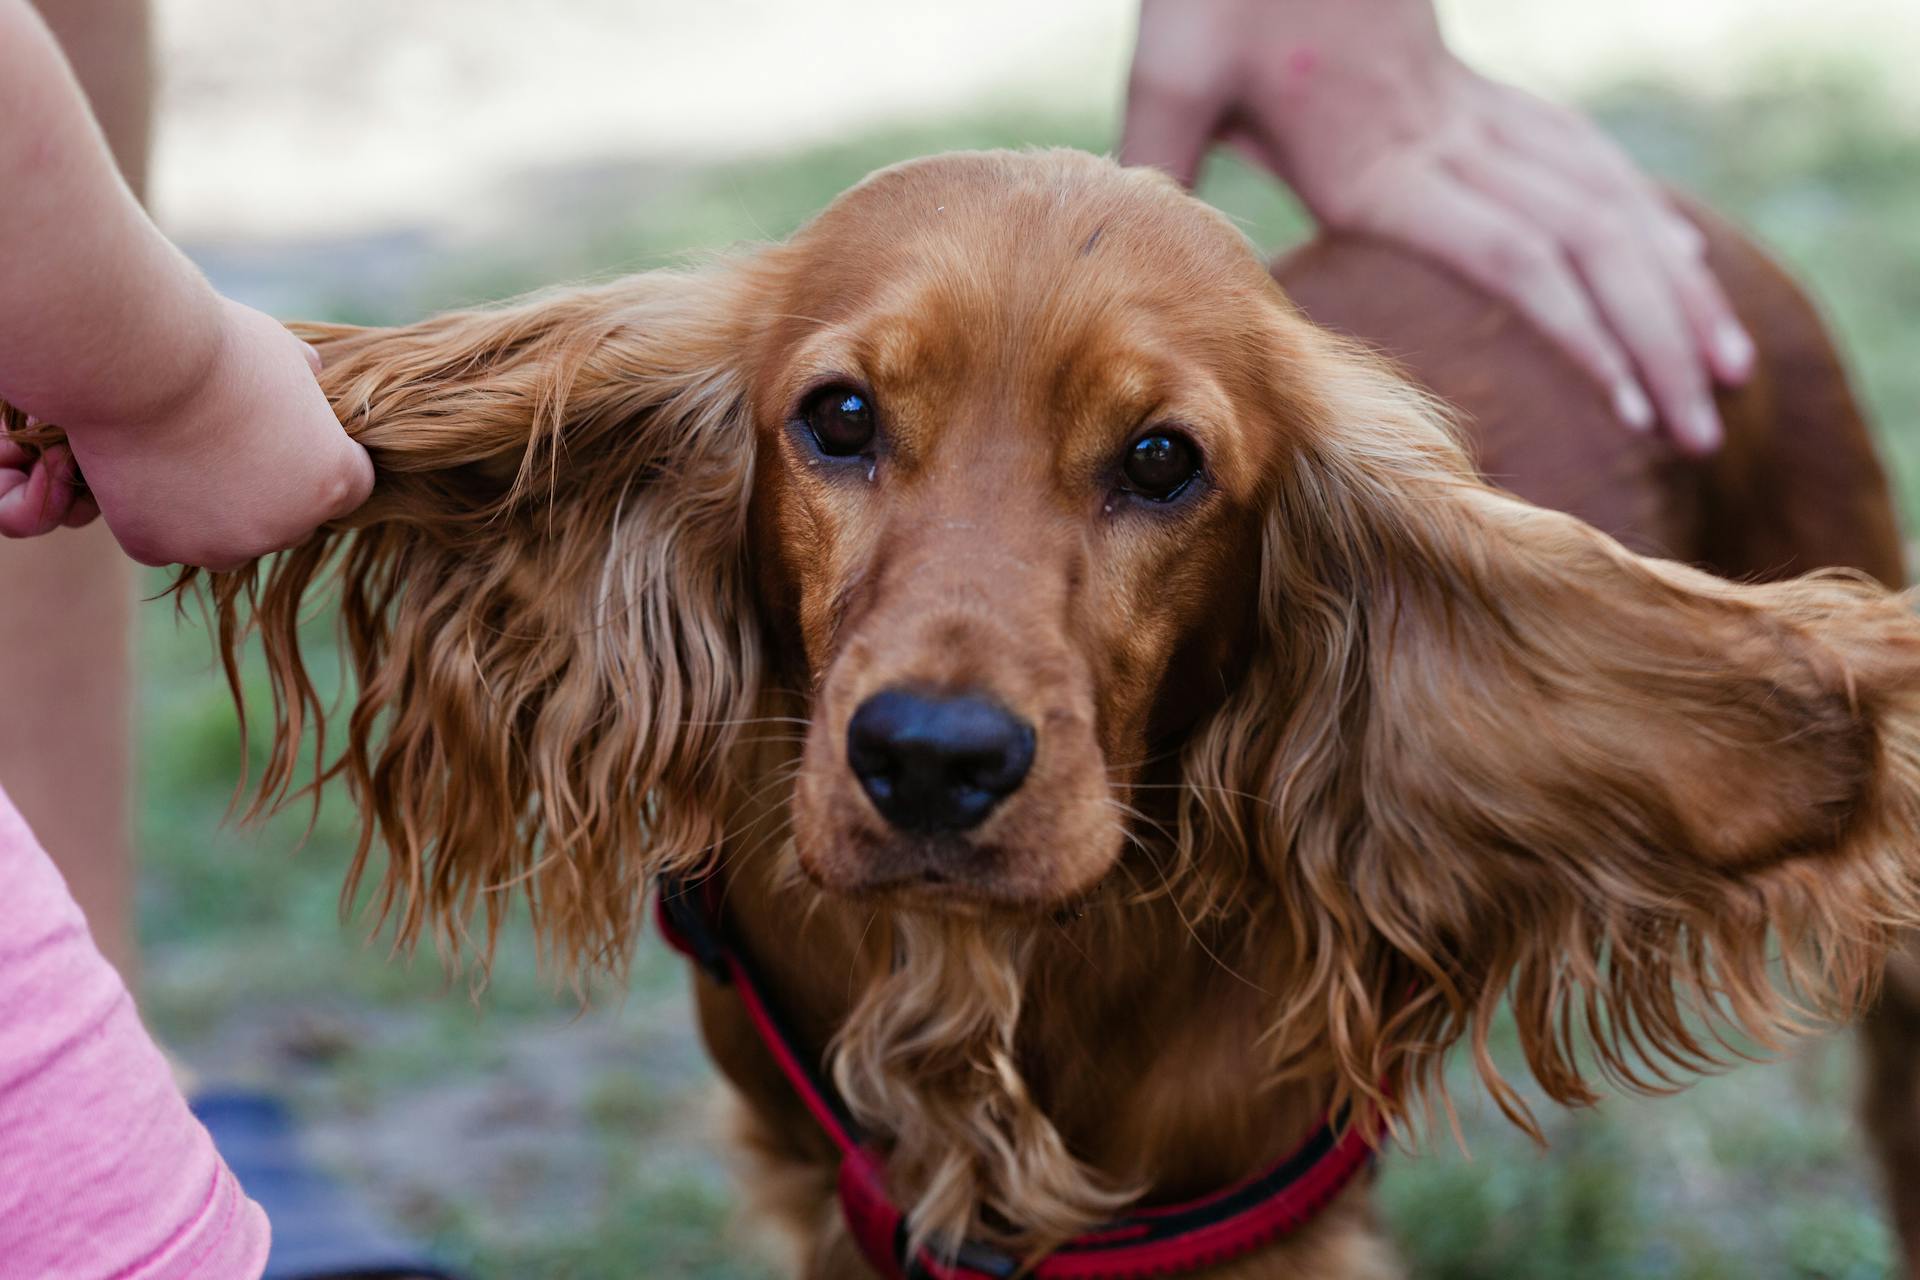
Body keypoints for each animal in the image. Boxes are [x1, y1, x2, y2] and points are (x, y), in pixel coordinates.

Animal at [26, 152, 1920, 1280]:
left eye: (1163, 461)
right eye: (841, 418)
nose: (932, 761)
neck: (989, 979)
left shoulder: (1245, 1233)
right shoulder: (828, 1192)